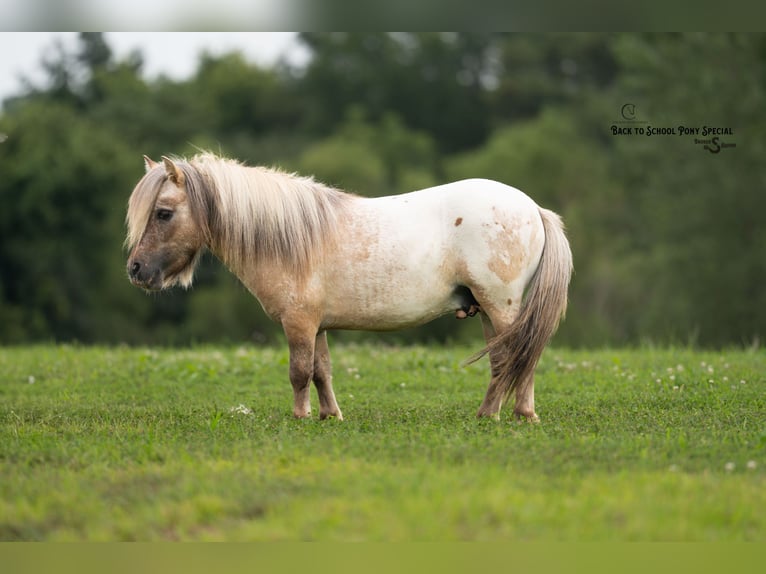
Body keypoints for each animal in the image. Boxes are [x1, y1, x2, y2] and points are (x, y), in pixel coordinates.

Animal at [125, 153, 572, 422]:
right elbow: (322, 371)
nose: (135, 269)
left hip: (502, 306)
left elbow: (299, 372)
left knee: (521, 357)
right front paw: (329, 416)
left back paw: (522, 414)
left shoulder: (299, 323)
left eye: (163, 213)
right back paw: (489, 414)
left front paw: (301, 417)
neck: (289, 237)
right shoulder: (318, 326)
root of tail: (533, 208)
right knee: (503, 361)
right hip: (489, 309)